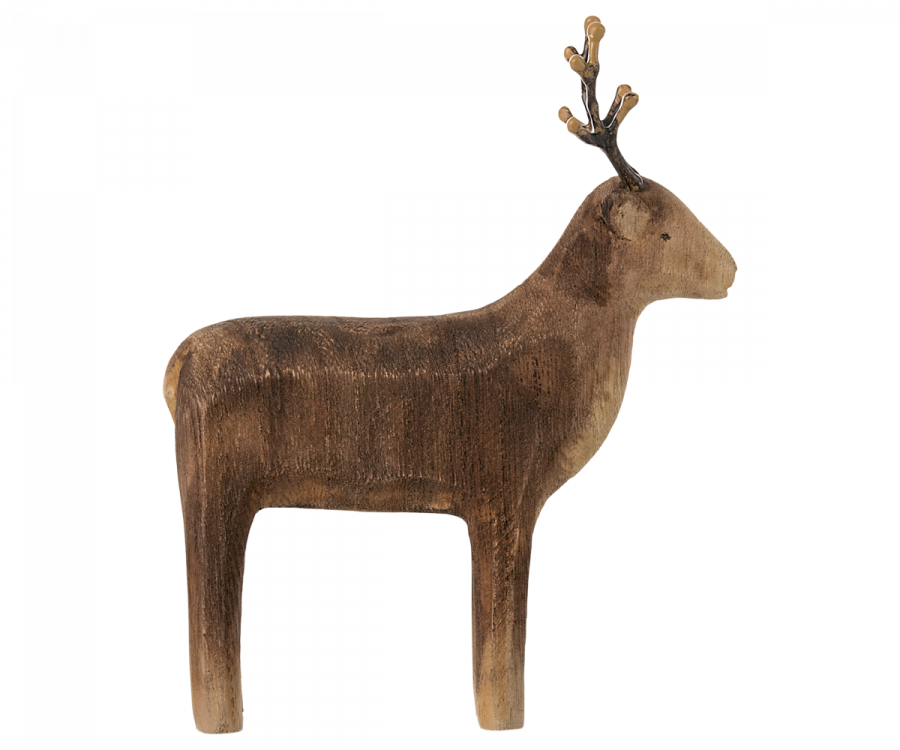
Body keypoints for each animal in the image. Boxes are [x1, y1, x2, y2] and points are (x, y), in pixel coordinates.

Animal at [162, 15, 737, 735]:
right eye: (664, 232)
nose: (732, 269)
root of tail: (175, 368)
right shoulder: (499, 489)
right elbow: (499, 649)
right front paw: (501, 720)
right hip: (215, 486)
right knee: (205, 610)